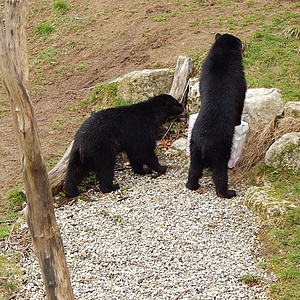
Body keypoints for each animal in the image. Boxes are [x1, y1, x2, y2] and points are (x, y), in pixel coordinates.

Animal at [186, 32, 247, 198]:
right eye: (239, 42)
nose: (245, 45)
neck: (222, 52)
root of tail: (203, 142)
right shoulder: (238, 77)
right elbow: (241, 98)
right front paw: (238, 122)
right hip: (220, 149)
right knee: (220, 172)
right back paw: (228, 192)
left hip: (193, 149)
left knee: (194, 169)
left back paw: (191, 185)